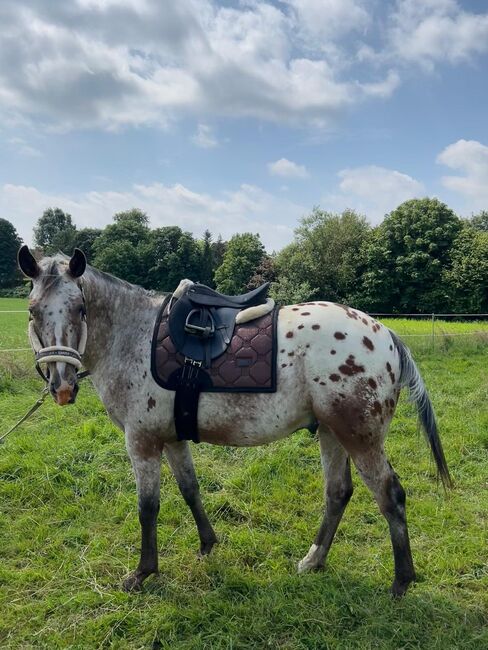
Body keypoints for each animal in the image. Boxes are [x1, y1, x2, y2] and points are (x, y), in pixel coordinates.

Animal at [17, 246, 452, 596]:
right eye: (33, 311)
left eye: (80, 309)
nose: (61, 385)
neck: (132, 335)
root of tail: (386, 334)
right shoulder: (172, 438)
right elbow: (190, 489)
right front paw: (208, 544)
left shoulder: (141, 441)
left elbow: (148, 507)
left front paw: (142, 573)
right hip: (331, 433)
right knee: (338, 493)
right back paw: (313, 560)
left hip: (360, 437)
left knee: (390, 495)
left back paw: (401, 581)